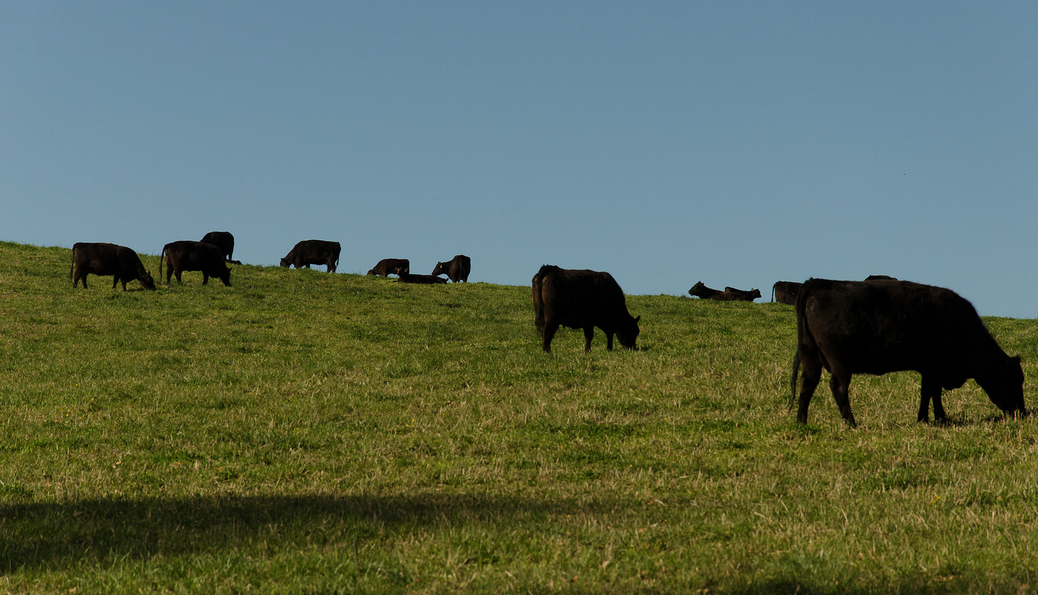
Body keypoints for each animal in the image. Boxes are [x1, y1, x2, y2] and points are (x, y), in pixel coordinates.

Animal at [788, 278, 1025, 427]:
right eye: (1014, 380)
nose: (1021, 413)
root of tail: (818, 282)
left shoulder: (931, 370)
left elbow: (932, 393)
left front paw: (938, 418)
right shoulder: (933, 368)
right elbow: (929, 392)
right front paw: (928, 419)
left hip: (810, 357)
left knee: (807, 385)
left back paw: (802, 422)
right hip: (840, 363)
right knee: (838, 388)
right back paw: (851, 423)